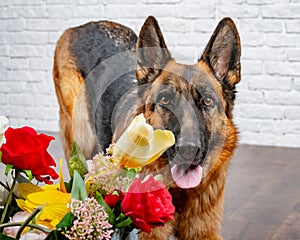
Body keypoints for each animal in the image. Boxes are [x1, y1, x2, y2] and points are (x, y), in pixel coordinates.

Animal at [53, 15, 241, 239]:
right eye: (165, 100)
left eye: (207, 101)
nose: (188, 149)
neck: (180, 193)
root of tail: (82, 26)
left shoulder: (204, 232)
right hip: (81, 138)